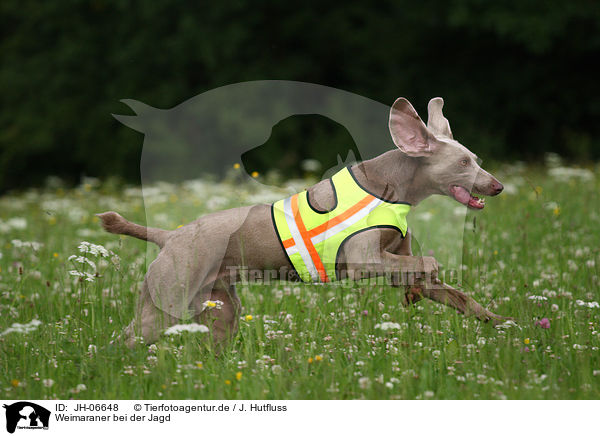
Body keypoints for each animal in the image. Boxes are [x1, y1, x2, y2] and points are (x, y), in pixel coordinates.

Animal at [98, 98, 510, 348]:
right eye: (463, 163)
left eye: (475, 159)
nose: (498, 186)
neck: (392, 186)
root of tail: (168, 236)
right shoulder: (363, 261)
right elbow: (428, 263)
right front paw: (418, 285)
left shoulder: (395, 261)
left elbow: (458, 295)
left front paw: (503, 322)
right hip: (164, 305)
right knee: (122, 341)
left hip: (221, 309)